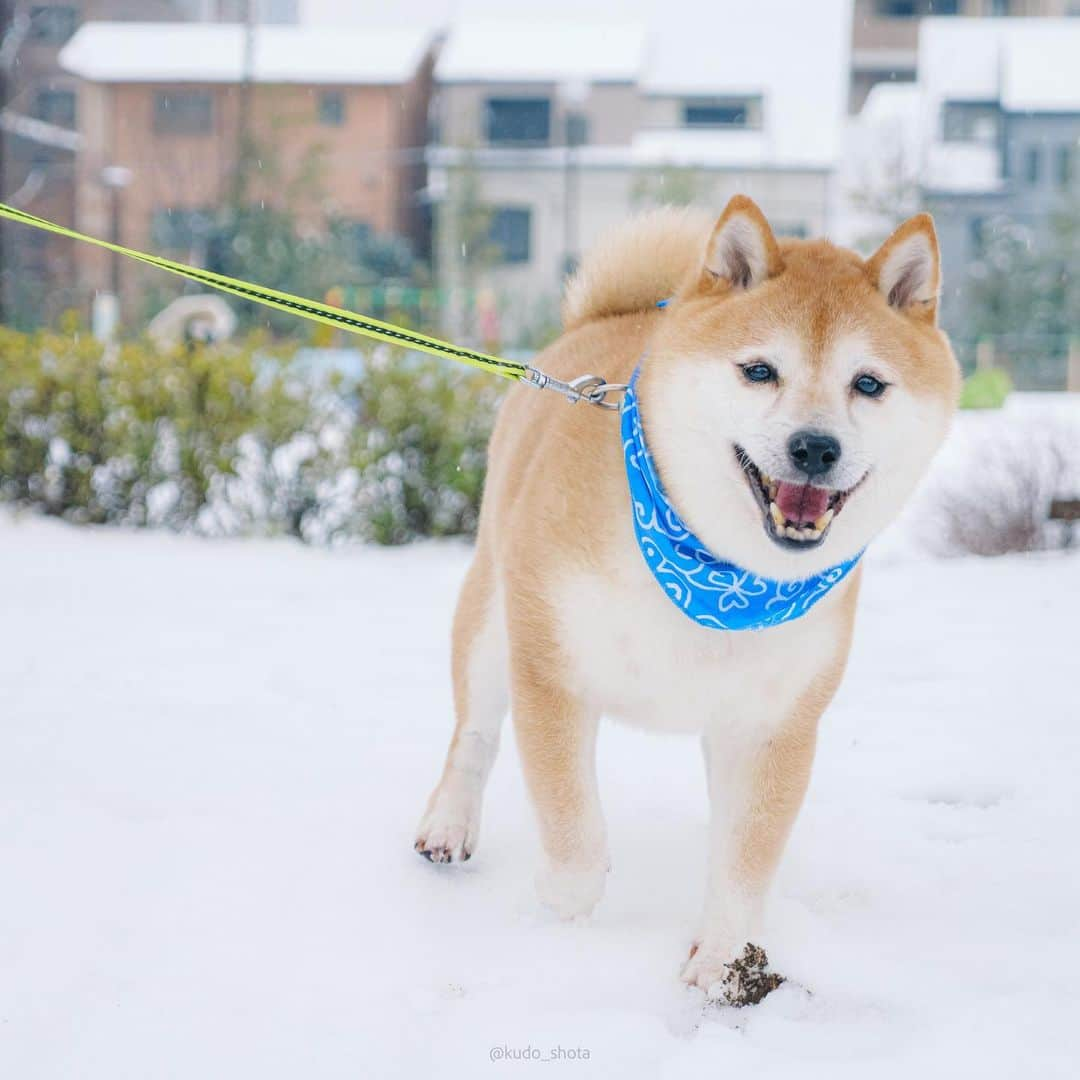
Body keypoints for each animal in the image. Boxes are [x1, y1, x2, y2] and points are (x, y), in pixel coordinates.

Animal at [414, 196, 963, 1002]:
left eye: (868, 384)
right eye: (760, 370)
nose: (815, 447)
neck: (717, 574)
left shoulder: (774, 725)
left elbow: (744, 859)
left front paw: (723, 965)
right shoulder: (552, 672)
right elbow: (574, 833)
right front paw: (563, 919)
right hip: (492, 611)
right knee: (474, 734)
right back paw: (449, 823)